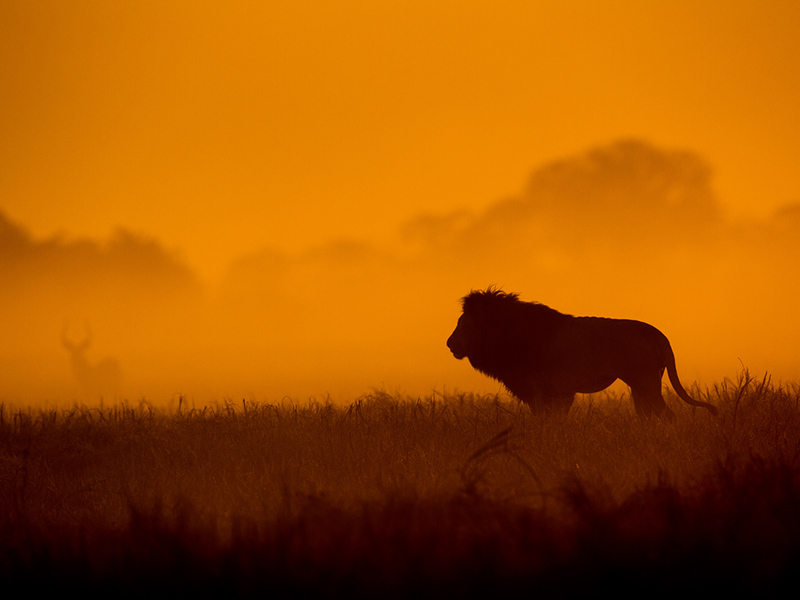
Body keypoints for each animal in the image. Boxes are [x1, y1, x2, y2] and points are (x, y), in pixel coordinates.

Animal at [446, 288, 717, 419]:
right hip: (641, 386)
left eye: (463, 323)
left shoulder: (537, 391)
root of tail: (657, 333)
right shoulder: (559, 394)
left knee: (668, 416)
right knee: (649, 417)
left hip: (645, 382)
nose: (449, 344)